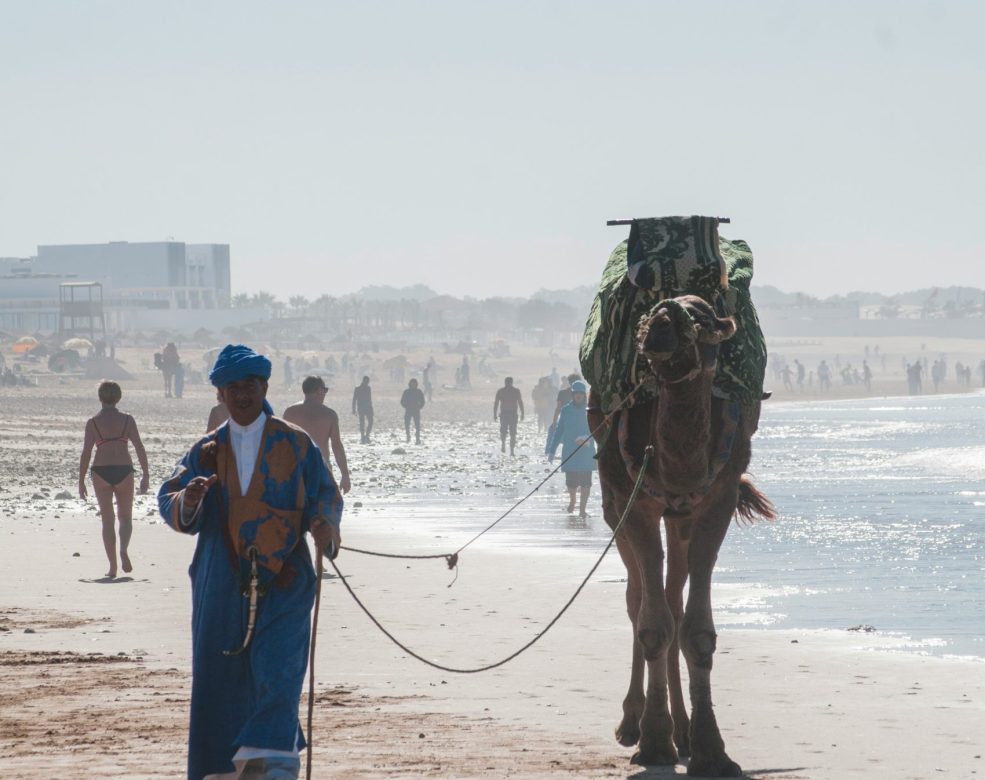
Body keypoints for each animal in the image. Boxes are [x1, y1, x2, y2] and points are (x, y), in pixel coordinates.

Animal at [584, 296, 776, 776]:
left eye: (702, 317)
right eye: (652, 312)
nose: (658, 325)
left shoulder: (715, 502)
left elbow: (697, 631)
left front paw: (711, 749)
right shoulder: (635, 504)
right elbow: (652, 624)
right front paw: (654, 742)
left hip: (680, 519)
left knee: (672, 599)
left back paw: (684, 730)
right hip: (616, 509)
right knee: (638, 599)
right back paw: (633, 723)